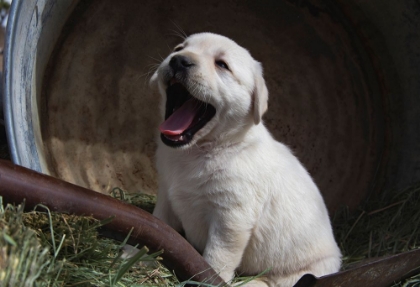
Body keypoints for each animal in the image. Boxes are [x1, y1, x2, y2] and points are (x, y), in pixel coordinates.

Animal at [151, 32, 342, 286]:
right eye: (178, 48)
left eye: (222, 65)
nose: (179, 60)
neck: (202, 150)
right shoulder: (166, 196)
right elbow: (158, 224)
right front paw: (132, 254)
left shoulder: (231, 219)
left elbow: (216, 259)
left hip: (302, 272)